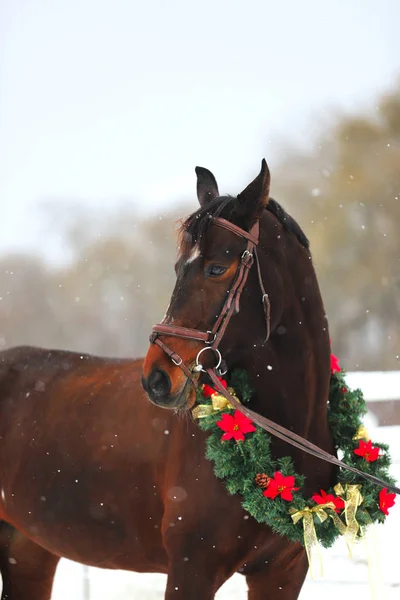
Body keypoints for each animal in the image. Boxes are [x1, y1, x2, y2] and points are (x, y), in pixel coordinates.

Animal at [0, 161, 334, 600]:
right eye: (178, 269)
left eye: (216, 268)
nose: (156, 378)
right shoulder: (192, 569)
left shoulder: (282, 573)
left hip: (28, 551)